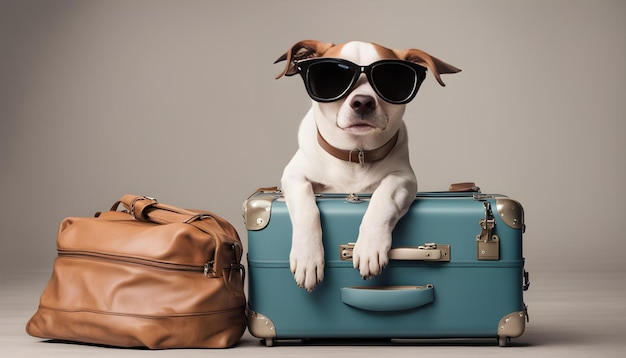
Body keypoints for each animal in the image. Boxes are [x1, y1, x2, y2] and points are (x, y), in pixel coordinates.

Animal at [272, 39, 458, 290]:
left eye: (391, 78)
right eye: (331, 76)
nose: (362, 102)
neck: (355, 155)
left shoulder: (404, 178)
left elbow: (384, 196)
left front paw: (370, 246)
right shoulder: (293, 175)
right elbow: (306, 205)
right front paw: (307, 257)